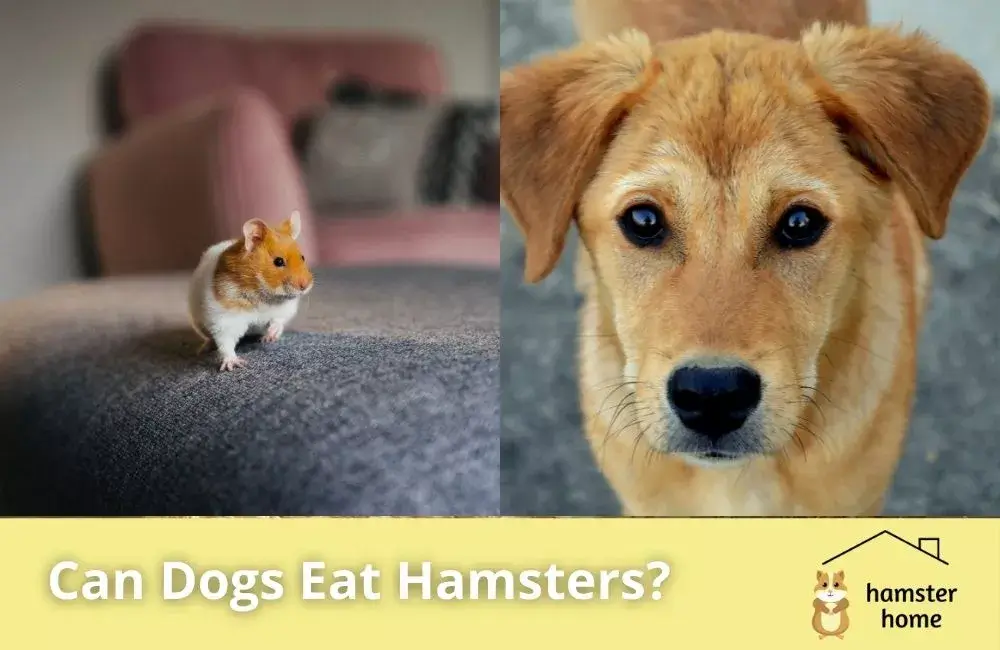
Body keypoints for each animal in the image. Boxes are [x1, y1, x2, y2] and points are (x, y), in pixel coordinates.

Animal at [188, 210, 314, 371]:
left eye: (302, 257)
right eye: (278, 261)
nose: (305, 286)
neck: (264, 294)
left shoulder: (285, 308)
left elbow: (278, 320)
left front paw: (269, 337)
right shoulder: (224, 319)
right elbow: (225, 342)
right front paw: (233, 364)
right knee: (211, 338)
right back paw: (202, 349)